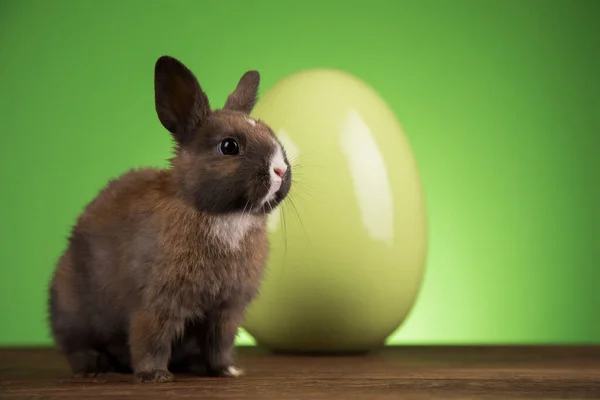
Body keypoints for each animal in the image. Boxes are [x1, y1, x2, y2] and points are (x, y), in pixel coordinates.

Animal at [46, 54, 290, 382]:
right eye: (229, 146)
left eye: (272, 134)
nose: (280, 169)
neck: (225, 216)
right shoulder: (158, 302)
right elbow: (152, 337)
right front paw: (154, 375)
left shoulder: (226, 310)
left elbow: (220, 343)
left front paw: (228, 370)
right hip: (72, 310)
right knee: (76, 347)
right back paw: (93, 368)